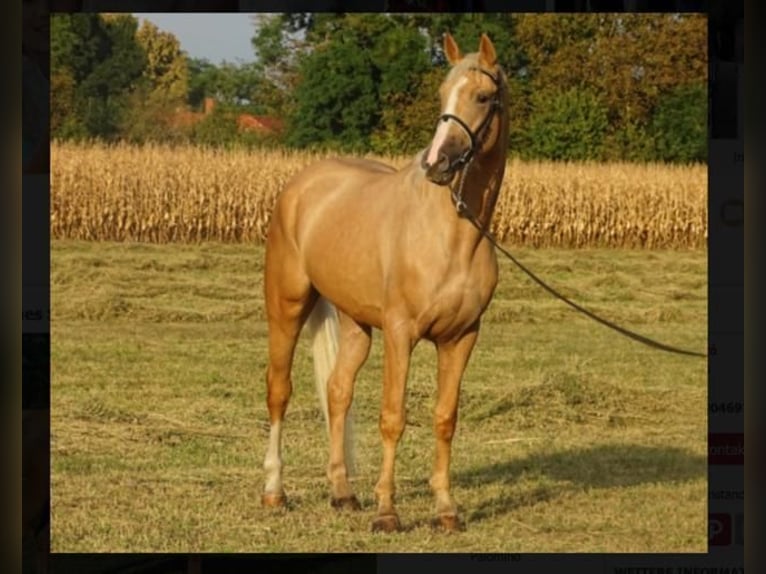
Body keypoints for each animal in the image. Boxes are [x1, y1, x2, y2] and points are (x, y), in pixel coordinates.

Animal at [262, 32, 510, 536]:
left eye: (482, 97)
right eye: (442, 93)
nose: (437, 163)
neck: (453, 234)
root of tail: (301, 185)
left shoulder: (462, 338)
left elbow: (445, 418)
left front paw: (446, 510)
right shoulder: (401, 333)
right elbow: (393, 417)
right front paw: (387, 512)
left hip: (355, 324)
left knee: (338, 390)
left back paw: (342, 493)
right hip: (287, 306)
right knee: (279, 391)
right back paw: (275, 492)